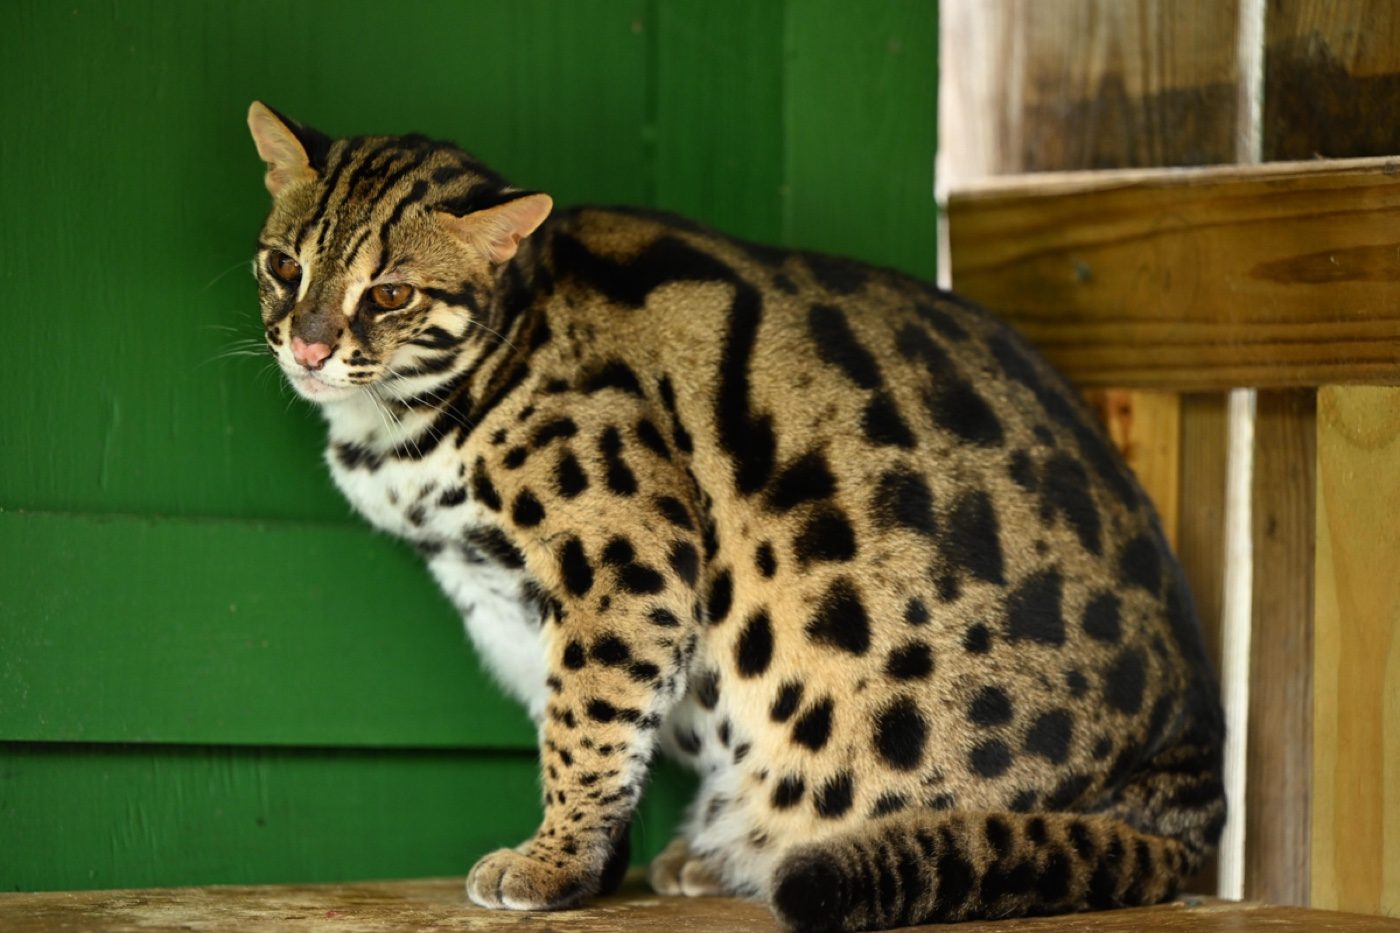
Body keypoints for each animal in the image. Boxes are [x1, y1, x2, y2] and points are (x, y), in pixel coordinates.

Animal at [245, 101, 1225, 931]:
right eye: (283, 266)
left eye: (391, 294)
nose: (309, 345)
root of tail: (1195, 773)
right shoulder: (511, 605)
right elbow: (585, 722)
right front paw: (593, 865)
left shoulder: (627, 561)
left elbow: (586, 724)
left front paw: (553, 862)